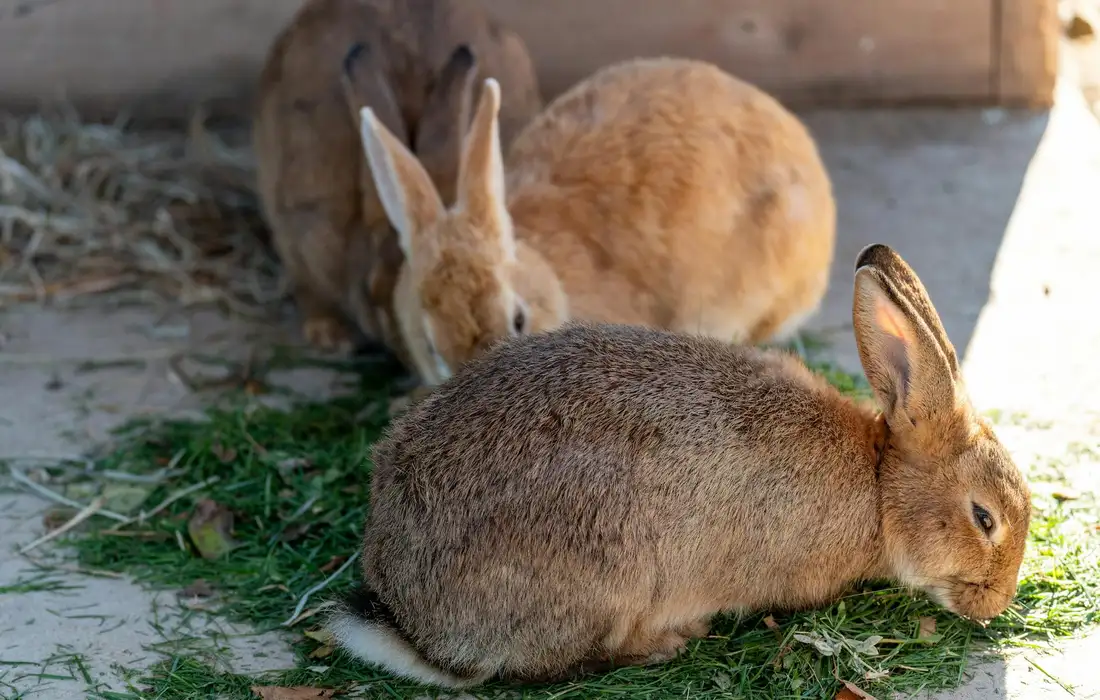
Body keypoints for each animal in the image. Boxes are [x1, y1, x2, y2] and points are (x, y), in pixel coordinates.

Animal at [324, 243, 1032, 687]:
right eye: (983, 518)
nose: (996, 604)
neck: (880, 488)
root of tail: (415, 623)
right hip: (606, 579)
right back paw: (669, 640)